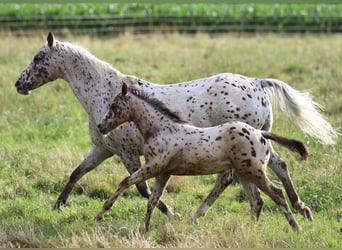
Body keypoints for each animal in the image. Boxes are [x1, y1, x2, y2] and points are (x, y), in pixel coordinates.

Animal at [95, 82, 308, 232]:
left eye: (114, 106)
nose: (101, 126)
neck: (160, 128)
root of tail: (260, 133)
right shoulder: (163, 173)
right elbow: (152, 200)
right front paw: (145, 229)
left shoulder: (153, 166)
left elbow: (125, 182)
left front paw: (99, 214)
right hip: (245, 173)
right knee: (257, 201)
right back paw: (250, 228)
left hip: (254, 172)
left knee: (276, 194)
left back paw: (296, 227)